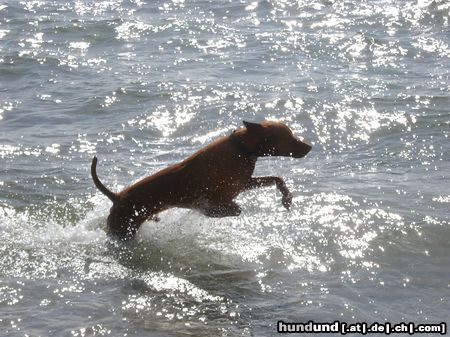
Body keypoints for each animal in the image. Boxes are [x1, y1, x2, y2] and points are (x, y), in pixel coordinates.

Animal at [90, 121, 312, 239]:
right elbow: (229, 209)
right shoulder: (218, 196)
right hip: (122, 231)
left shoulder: (243, 184)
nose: (310, 147)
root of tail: (117, 196)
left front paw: (287, 198)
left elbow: (277, 179)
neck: (241, 149)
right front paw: (212, 212)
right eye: (289, 136)